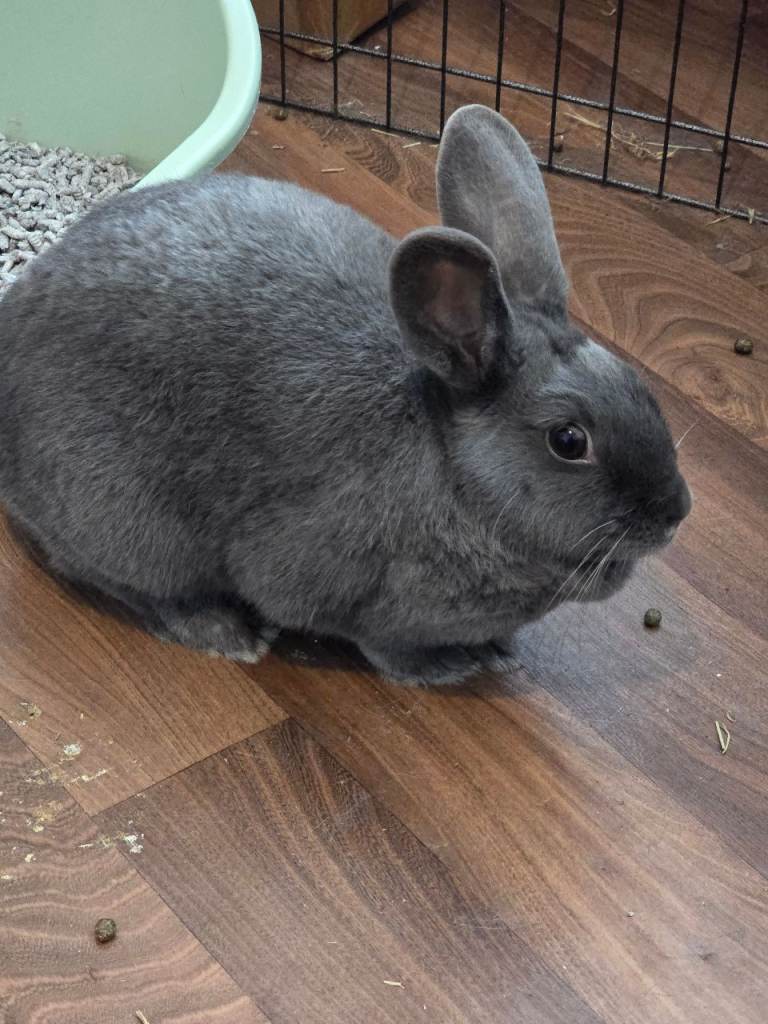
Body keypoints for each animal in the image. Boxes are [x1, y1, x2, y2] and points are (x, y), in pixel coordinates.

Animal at [0, 104, 691, 686]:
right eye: (568, 440)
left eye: (641, 389)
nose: (674, 512)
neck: (455, 474)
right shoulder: (326, 579)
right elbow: (379, 643)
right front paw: (448, 668)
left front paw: (495, 649)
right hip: (129, 520)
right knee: (133, 584)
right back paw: (228, 633)